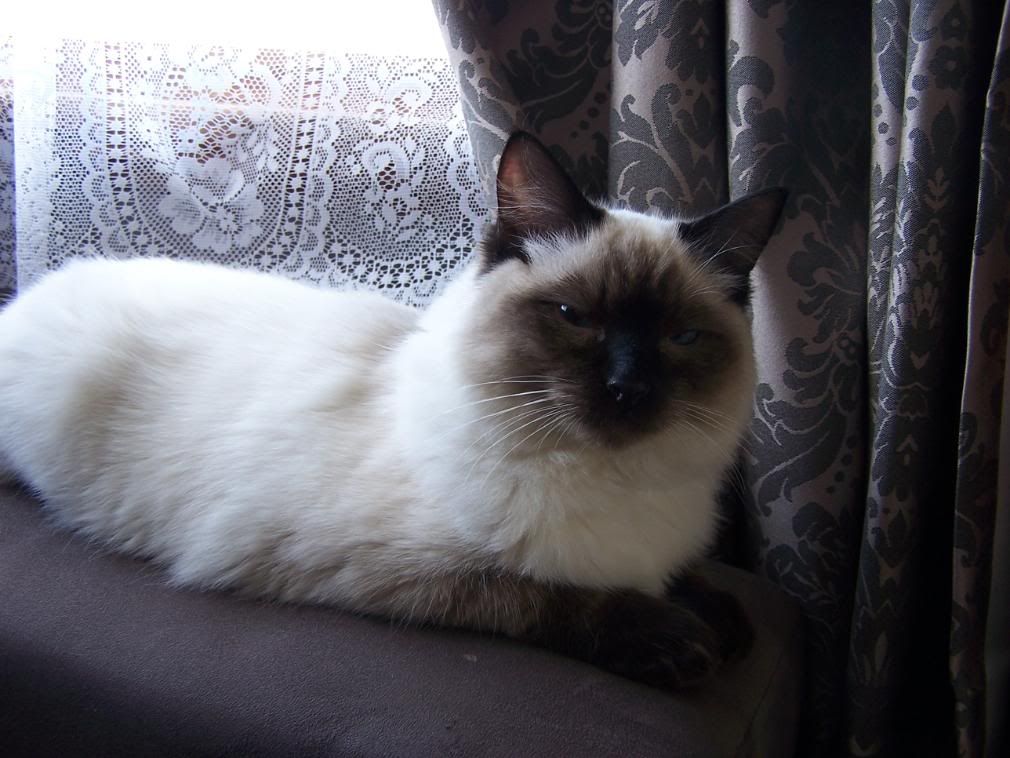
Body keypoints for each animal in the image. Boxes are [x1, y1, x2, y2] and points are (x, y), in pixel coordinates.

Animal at [0, 133, 783, 691]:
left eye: (680, 338)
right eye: (574, 317)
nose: (628, 388)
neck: (614, 481)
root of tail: (40, 286)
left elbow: (687, 577)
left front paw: (723, 618)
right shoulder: (384, 569)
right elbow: (551, 594)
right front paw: (676, 638)